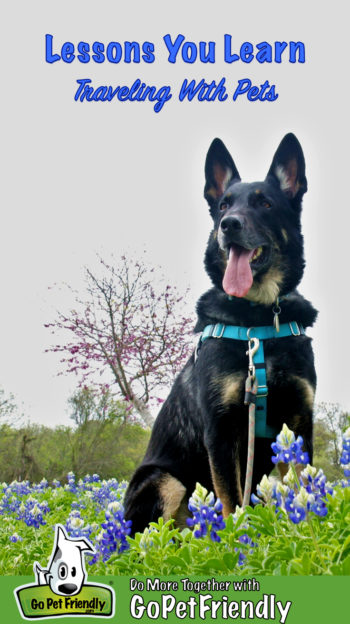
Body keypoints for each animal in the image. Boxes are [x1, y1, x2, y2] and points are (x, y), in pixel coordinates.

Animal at [125, 134, 318, 532]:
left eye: (264, 203)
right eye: (224, 204)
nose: (228, 224)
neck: (260, 316)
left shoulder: (299, 421)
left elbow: (302, 489)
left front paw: (308, 528)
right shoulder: (221, 428)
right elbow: (231, 501)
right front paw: (237, 538)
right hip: (165, 480)